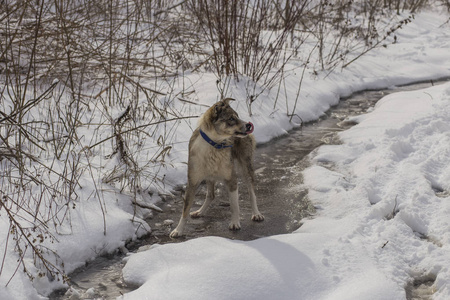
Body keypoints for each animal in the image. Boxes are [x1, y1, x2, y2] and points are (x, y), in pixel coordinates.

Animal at [171, 97, 264, 238]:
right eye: (231, 118)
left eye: (237, 116)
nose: (248, 125)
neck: (215, 144)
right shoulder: (192, 181)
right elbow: (185, 209)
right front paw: (178, 230)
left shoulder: (231, 179)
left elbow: (234, 205)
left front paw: (235, 223)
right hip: (209, 176)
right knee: (211, 195)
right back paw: (200, 211)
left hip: (246, 167)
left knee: (251, 192)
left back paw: (256, 213)